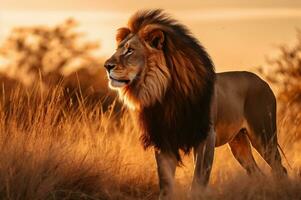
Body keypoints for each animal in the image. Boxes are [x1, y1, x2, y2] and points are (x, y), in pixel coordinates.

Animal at [103, 9, 286, 200]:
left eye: (130, 51)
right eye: (118, 49)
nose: (106, 66)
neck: (164, 94)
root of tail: (263, 82)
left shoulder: (206, 136)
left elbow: (198, 181)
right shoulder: (164, 140)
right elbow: (166, 184)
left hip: (263, 135)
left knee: (280, 169)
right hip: (239, 142)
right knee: (257, 173)